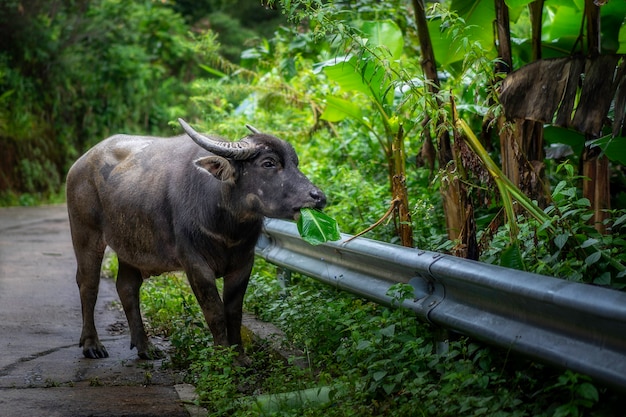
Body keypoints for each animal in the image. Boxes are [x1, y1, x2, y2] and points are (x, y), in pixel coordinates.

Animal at [66, 118, 324, 360]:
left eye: (295, 162)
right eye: (268, 163)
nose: (319, 196)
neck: (226, 227)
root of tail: (79, 164)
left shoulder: (244, 262)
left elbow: (234, 312)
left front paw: (240, 357)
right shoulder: (195, 263)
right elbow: (215, 311)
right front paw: (224, 358)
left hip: (130, 246)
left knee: (127, 288)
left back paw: (146, 347)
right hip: (85, 234)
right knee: (88, 284)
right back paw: (92, 345)